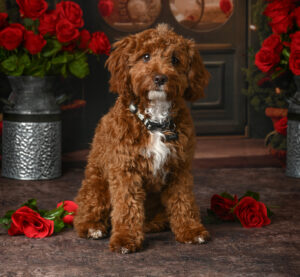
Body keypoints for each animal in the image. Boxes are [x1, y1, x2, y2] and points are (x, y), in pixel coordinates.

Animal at [74, 23, 211, 252]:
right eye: (145, 56)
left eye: (175, 59)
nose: (160, 78)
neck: (154, 121)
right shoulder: (125, 169)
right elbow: (127, 207)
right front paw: (125, 238)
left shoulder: (179, 169)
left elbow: (183, 202)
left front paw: (190, 230)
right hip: (97, 183)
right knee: (87, 209)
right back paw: (92, 226)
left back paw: (154, 223)